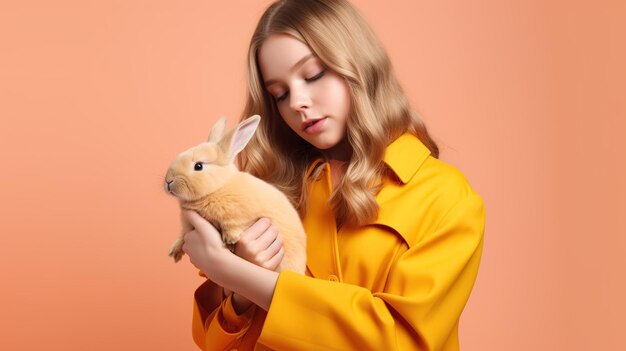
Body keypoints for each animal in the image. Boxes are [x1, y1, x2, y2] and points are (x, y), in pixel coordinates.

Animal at [163, 115, 304, 276]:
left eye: (198, 166)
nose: (168, 181)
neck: (218, 187)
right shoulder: (188, 228)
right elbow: (183, 236)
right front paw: (174, 251)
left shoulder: (245, 215)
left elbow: (234, 223)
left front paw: (231, 239)